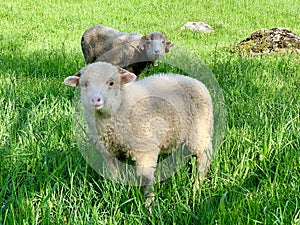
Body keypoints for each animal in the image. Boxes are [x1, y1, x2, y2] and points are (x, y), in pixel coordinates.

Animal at [63, 61, 213, 206]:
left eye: (111, 83)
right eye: (85, 84)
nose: (96, 100)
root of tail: (194, 80)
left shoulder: (145, 149)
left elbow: (146, 177)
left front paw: (149, 203)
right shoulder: (109, 152)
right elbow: (114, 174)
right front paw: (116, 193)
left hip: (199, 131)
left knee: (204, 157)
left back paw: (196, 185)